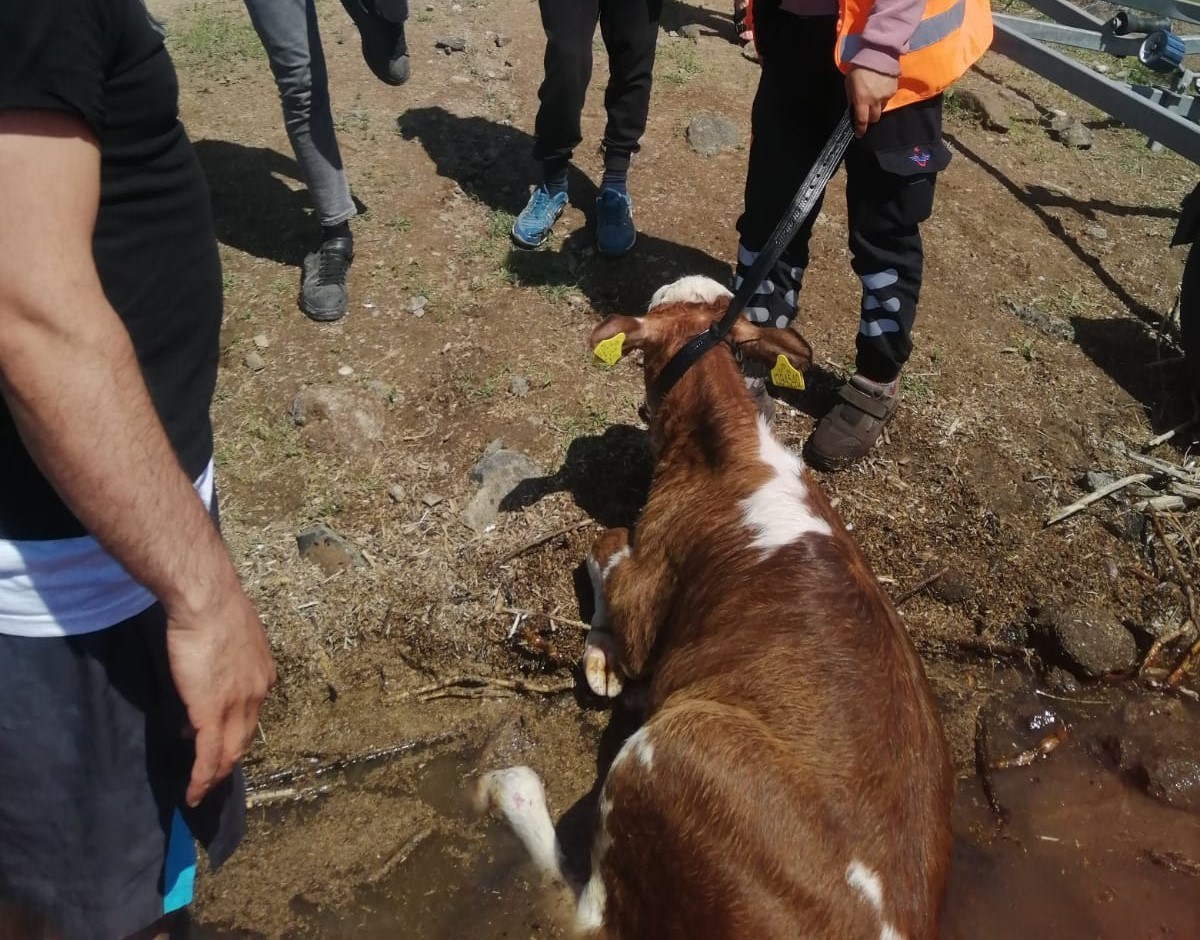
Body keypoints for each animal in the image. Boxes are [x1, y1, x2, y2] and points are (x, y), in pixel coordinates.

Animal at [472, 276, 950, 936]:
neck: (729, 449)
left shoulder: (650, 584)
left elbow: (603, 546)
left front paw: (601, 653)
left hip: (670, 756)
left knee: (584, 912)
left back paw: (510, 788)